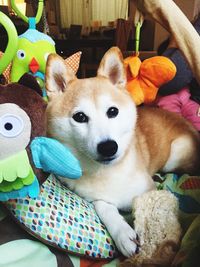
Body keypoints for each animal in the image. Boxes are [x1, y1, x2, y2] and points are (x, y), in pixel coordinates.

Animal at [45, 47, 200, 258]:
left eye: (112, 111)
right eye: (80, 117)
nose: (108, 147)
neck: (107, 173)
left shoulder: (147, 190)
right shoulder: (93, 197)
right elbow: (104, 206)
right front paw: (123, 234)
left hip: (175, 153)